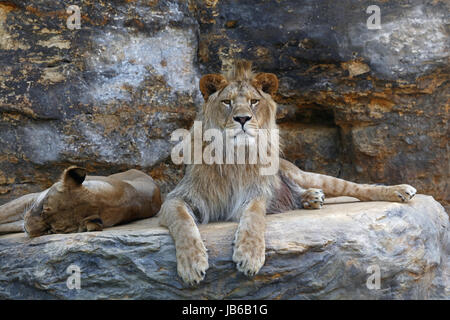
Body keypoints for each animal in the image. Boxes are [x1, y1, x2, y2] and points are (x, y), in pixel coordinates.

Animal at [159, 60, 418, 284]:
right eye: (227, 102)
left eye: (254, 101)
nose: (242, 118)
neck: (235, 155)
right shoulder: (176, 199)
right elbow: (183, 222)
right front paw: (191, 264)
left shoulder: (257, 193)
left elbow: (254, 217)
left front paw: (250, 255)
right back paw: (311, 198)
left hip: (305, 175)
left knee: (356, 187)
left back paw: (400, 191)